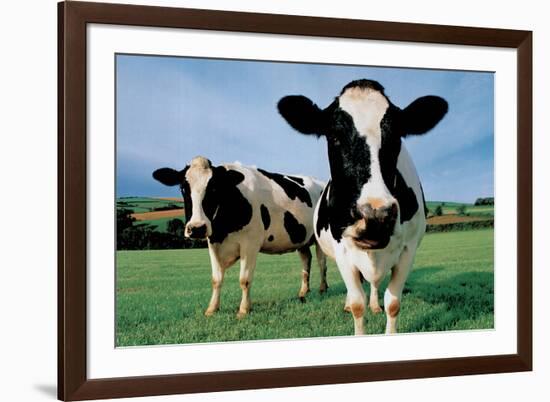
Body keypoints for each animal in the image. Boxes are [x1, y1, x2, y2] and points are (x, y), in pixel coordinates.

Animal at [152, 156, 328, 318]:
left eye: (214, 188)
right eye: (183, 188)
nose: (197, 228)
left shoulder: (250, 244)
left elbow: (245, 279)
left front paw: (243, 310)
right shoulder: (213, 243)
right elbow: (216, 279)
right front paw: (212, 309)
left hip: (320, 238)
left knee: (322, 263)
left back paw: (322, 289)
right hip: (301, 238)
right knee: (306, 261)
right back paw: (303, 292)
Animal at [278, 79, 450, 336]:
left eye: (397, 138)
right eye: (334, 136)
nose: (375, 215)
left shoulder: (409, 249)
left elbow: (393, 303)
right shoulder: (342, 249)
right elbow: (358, 304)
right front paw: (354, 310)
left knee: (375, 283)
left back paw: (375, 305)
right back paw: (348, 303)